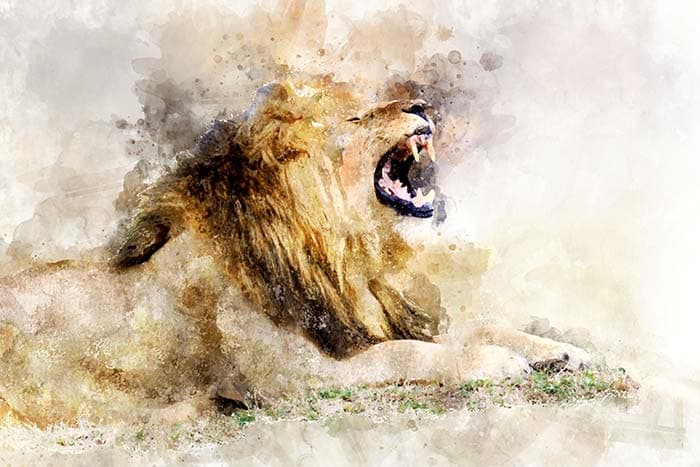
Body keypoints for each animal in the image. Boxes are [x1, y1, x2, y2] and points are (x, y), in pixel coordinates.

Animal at [0, 75, 590, 424]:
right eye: (357, 118)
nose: (423, 104)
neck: (341, 247)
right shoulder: (291, 376)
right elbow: (412, 353)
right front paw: (499, 361)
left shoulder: (359, 323)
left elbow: (469, 327)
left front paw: (558, 348)